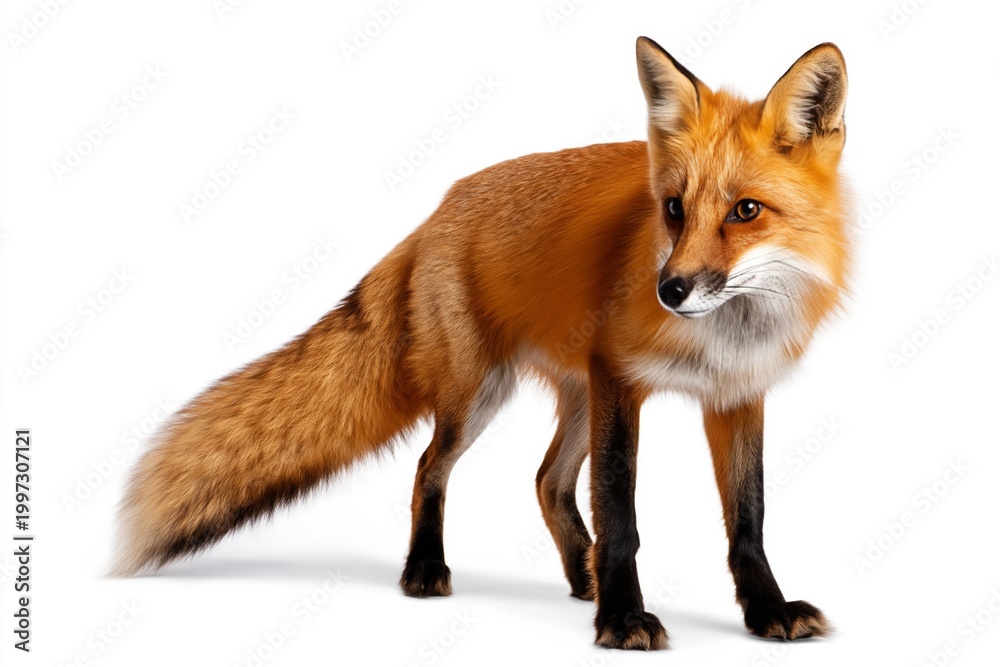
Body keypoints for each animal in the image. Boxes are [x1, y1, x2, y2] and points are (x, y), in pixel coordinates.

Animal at [114, 37, 850, 650]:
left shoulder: (736, 393)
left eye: (745, 211)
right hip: (481, 394)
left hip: (577, 395)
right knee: (429, 469)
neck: (726, 333)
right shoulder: (621, 378)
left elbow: (748, 519)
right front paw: (621, 619)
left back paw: (580, 577)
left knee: (547, 481)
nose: (669, 290)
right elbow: (620, 511)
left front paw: (765, 610)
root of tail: (439, 208)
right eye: (673, 208)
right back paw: (426, 568)